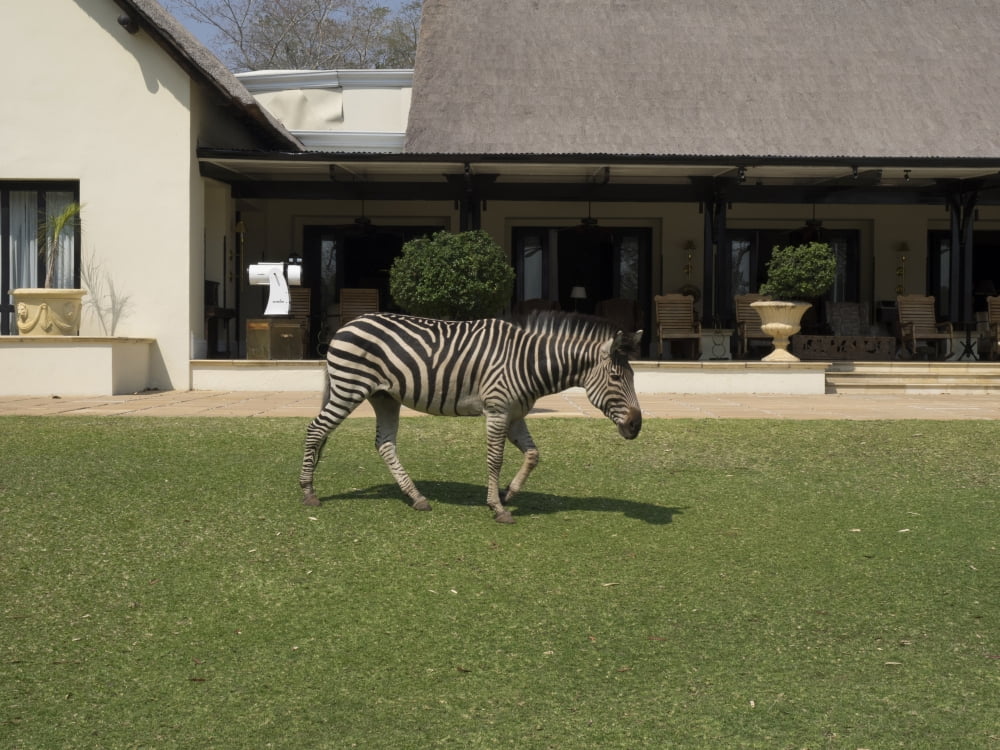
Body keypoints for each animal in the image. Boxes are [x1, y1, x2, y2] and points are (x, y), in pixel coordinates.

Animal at [298, 311, 643, 523]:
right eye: (616, 377)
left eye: (633, 375)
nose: (636, 425)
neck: (527, 361)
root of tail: (349, 323)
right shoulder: (497, 410)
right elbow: (495, 459)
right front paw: (498, 507)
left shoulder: (515, 413)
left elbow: (533, 454)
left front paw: (508, 492)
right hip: (349, 387)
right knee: (316, 429)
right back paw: (308, 492)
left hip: (384, 397)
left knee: (384, 443)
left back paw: (417, 497)